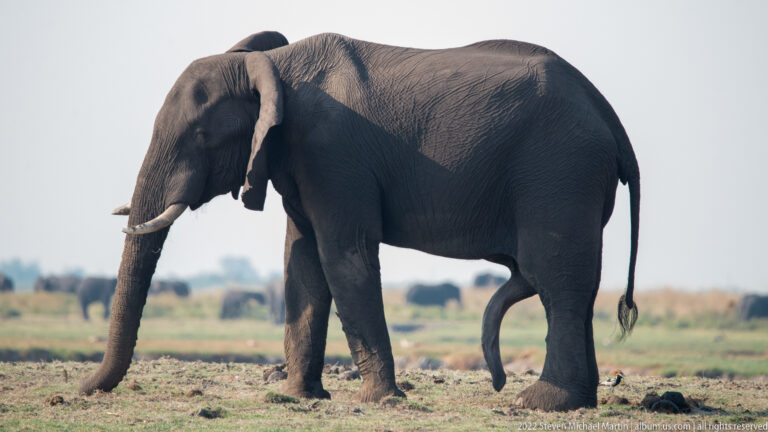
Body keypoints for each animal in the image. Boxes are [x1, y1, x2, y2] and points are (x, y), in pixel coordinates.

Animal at [79, 31, 640, 411]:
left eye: (200, 136)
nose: (84, 389)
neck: (270, 67)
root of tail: (610, 115)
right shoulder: (300, 158)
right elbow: (302, 262)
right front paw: (300, 397)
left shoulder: (333, 153)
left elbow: (341, 256)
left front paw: (379, 401)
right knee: (574, 284)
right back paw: (576, 400)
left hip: (559, 172)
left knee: (557, 280)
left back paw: (539, 402)